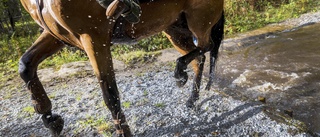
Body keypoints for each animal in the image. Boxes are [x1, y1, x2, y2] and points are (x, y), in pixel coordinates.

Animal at [18, 0, 224, 136]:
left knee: (208, 46)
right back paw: (191, 98)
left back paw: (181, 73)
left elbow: (110, 94)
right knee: (199, 57)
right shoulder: (57, 35)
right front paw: (51, 120)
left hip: (198, 20)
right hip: (174, 29)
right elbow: (26, 66)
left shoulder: (94, 38)